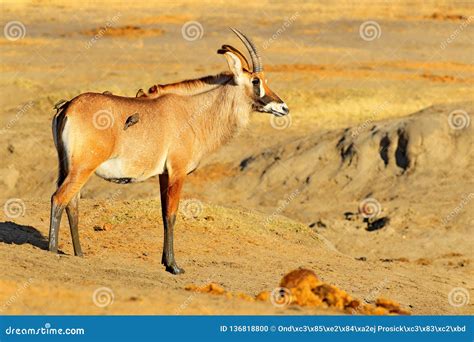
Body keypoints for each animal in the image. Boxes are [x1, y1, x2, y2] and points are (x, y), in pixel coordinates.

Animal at [49, 29, 288, 276]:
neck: (193, 111)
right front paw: (174, 265)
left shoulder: (164, 174)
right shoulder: (177, 172)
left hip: (72, 168)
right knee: (59, 198)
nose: (283, 107)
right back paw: (52, 250)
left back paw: (79, 254)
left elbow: (164, 214)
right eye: (255, 81)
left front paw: (166, 261)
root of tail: (67, 108)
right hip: (83, 168)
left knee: (72, 204)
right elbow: (172, 214)